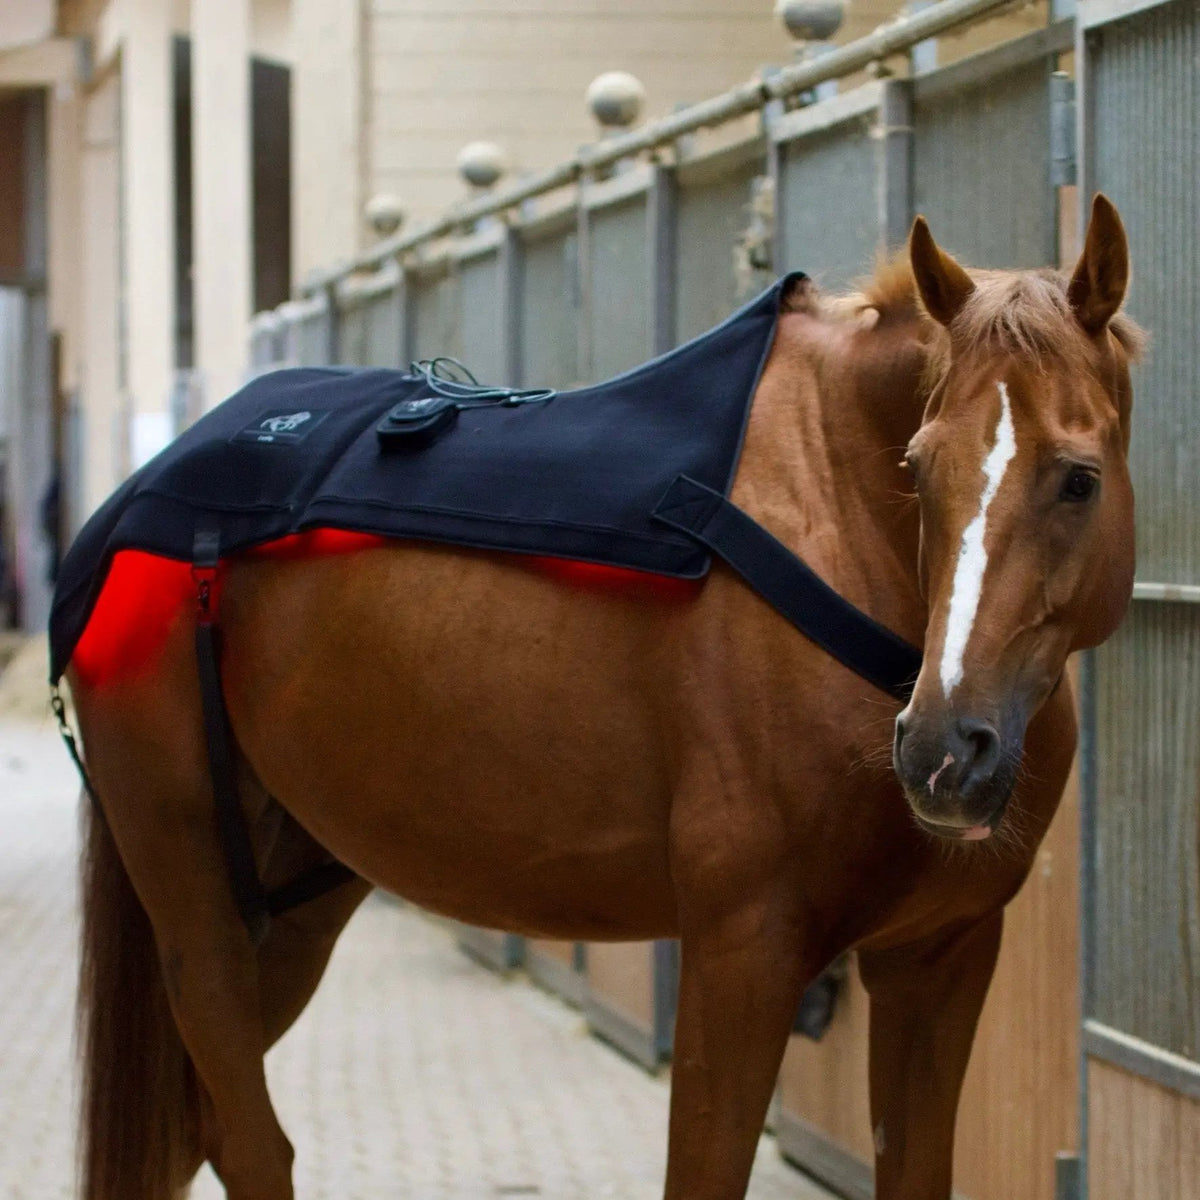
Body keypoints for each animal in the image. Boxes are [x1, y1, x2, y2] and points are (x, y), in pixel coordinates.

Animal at [66, 194, 1142, 1200]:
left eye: (1079, 480)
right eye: (917, 469)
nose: (943, 753)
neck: (830, 517)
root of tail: (141, 496)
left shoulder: (938, 959)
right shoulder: (741, 953)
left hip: (293, 902)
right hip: (194, 905)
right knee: (252, 1144)